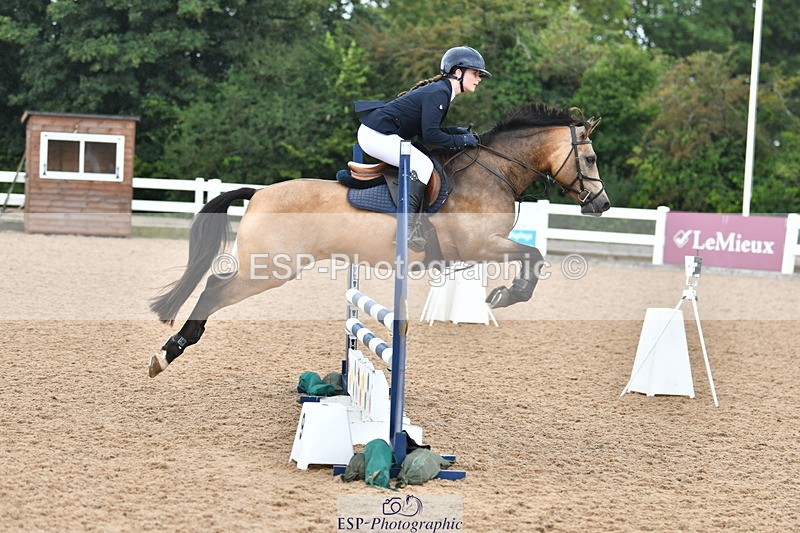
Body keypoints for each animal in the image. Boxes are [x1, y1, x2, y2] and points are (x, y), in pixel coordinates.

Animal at [148, 103, 610, 377]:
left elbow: (533, 255)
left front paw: (505, 293)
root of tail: (258, 193)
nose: (601, 204)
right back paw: (169, 352)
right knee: (214, 288)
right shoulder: (480, 245)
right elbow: (534, 255)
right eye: (589, 158)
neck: (492, 172)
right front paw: (507, 294)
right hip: (269, 269)